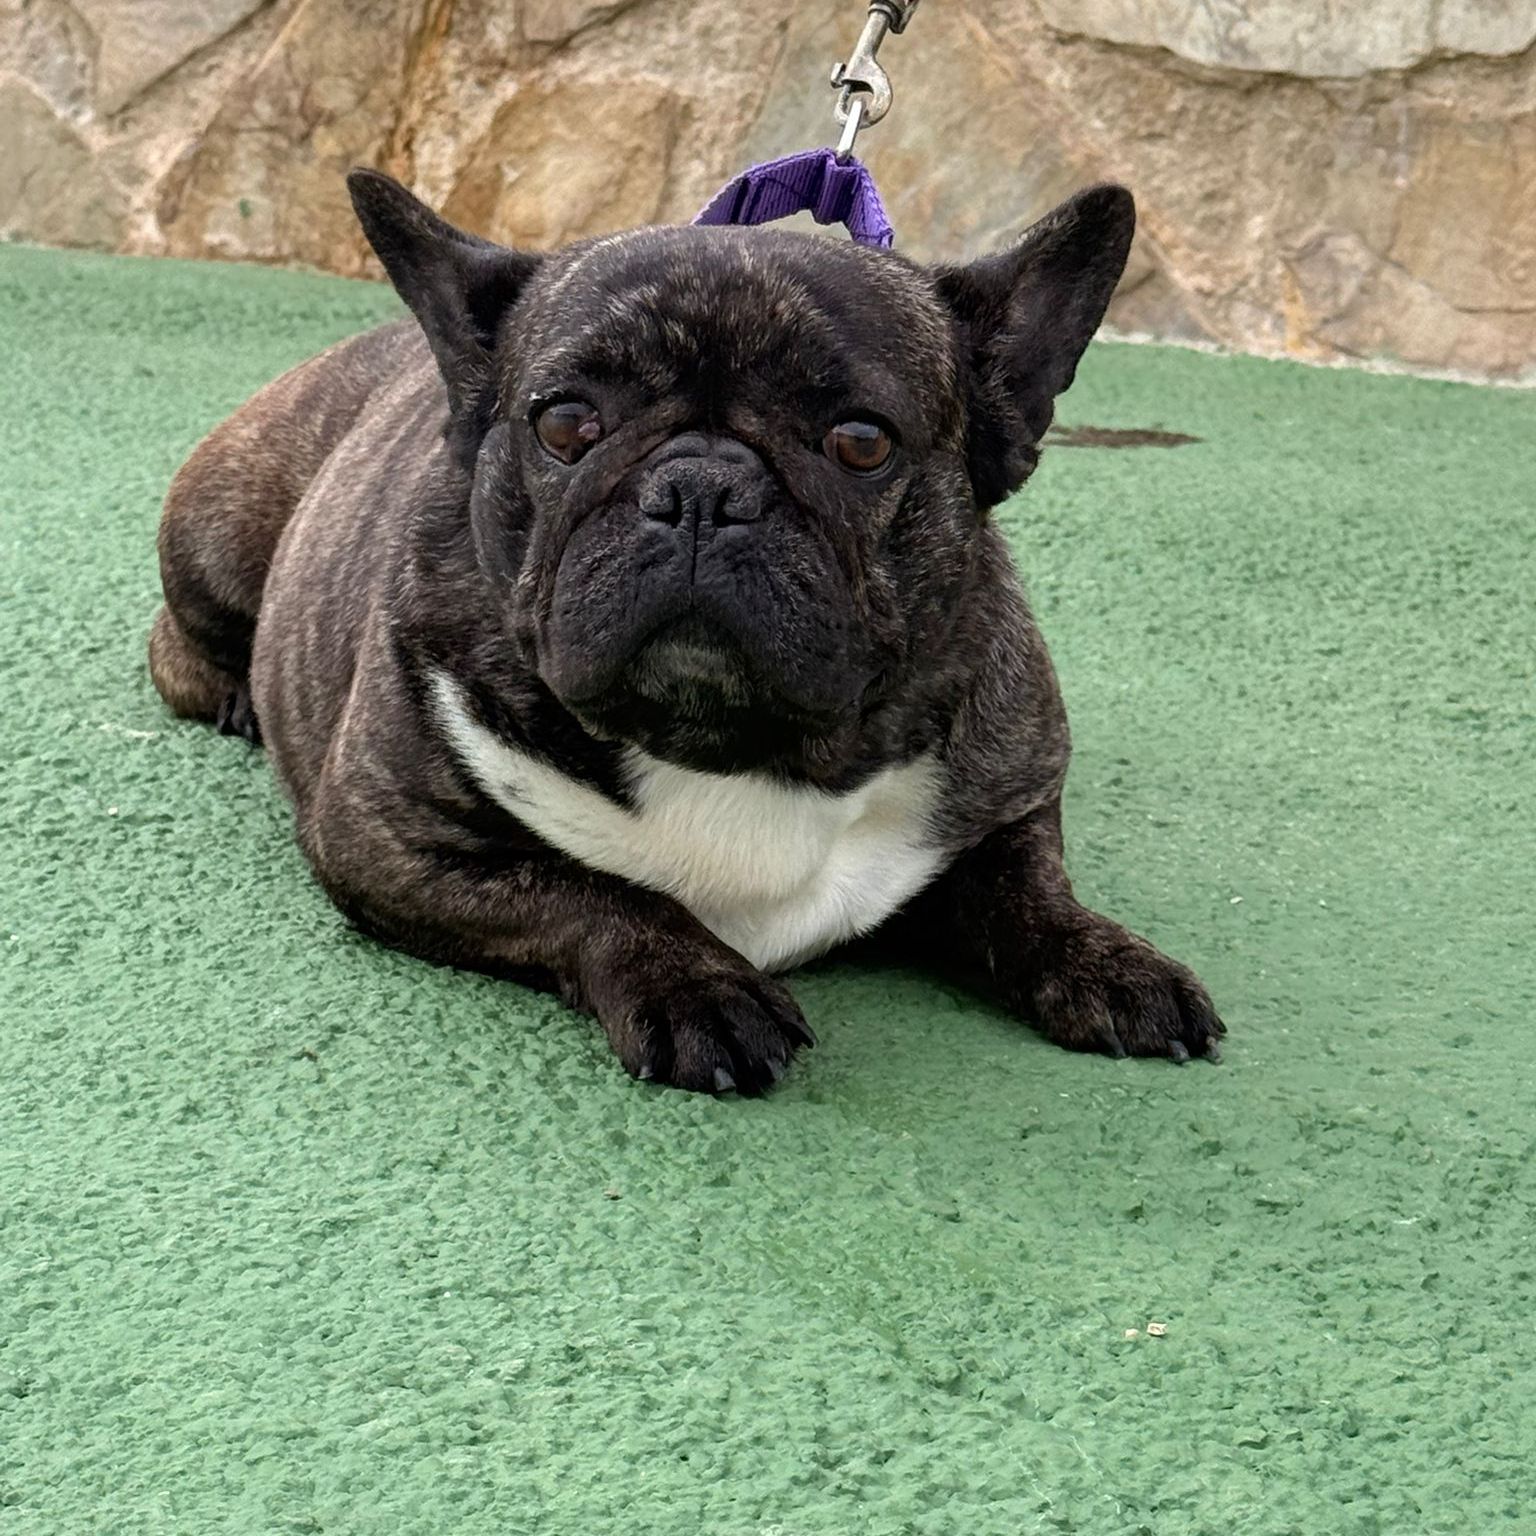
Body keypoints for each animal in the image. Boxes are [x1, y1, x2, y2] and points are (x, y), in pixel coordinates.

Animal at [148, 168, 1224, 1094]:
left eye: (861, 442)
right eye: (566, 424)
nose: (701, 488)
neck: (735, 747)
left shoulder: (1007, 793)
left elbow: (1027, 889)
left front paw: (1106, 958)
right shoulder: (395, 841)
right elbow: (591, 893)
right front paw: (695, 982)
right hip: (218, 530)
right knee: (176, 644)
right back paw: (237, 695)